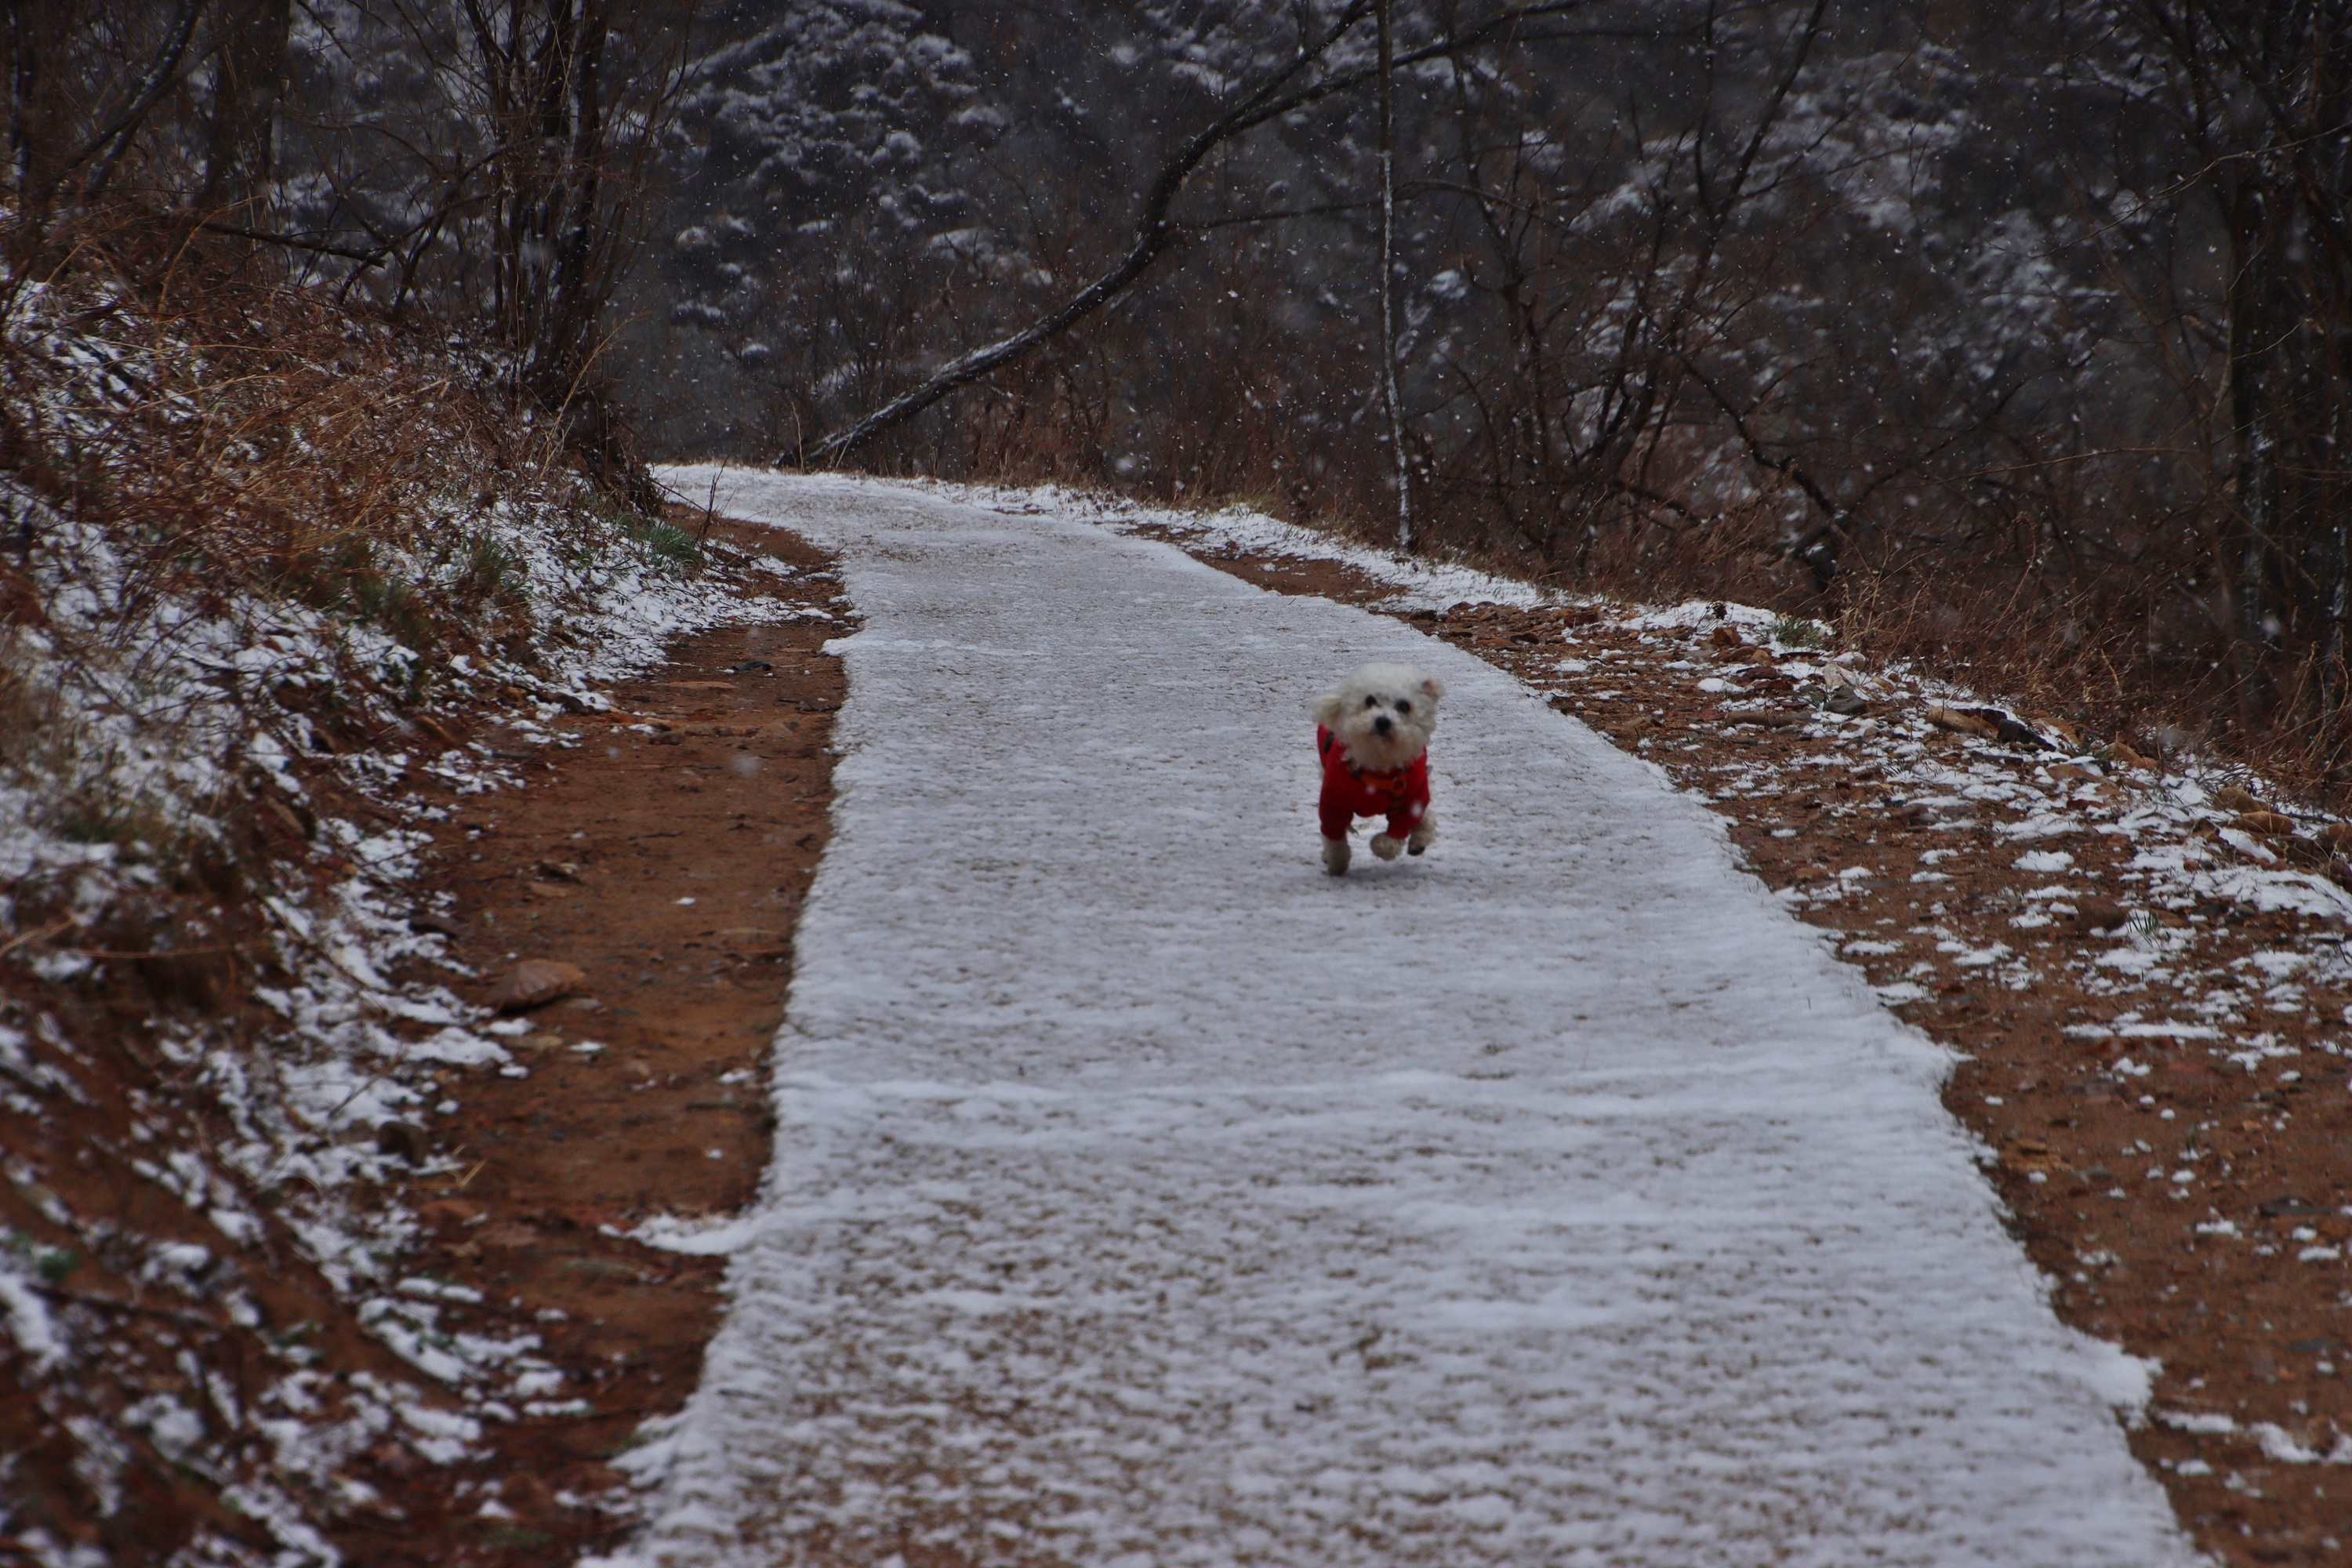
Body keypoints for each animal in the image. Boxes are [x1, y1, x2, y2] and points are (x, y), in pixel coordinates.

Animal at [1312, 661, 1443, 876]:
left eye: (1404, 706)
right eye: (1370, 700)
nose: (1383, 721)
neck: (1379, 764)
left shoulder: (1410, 800)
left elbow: (1391, 840)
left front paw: (1381, 845)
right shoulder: (1334, 802)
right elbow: (1335, 835)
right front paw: (1337, 864)